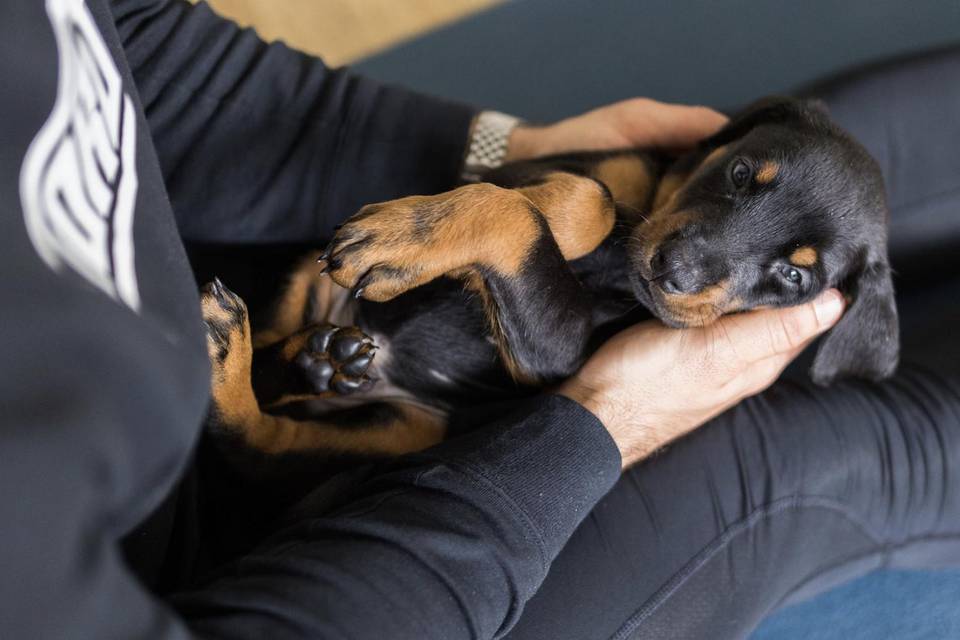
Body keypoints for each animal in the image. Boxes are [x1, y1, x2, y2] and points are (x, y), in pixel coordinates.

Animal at [202, 96, 900, 464]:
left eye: (794, 276)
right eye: (739, 172)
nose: (672, 270)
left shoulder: (560, 355)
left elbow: (553, 216)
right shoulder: (568, 172)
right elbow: (588, 197)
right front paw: (414, 235)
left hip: (408, 429)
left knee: (262, 440)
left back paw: (298, 363)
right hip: (303, 274)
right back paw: (263, 352)